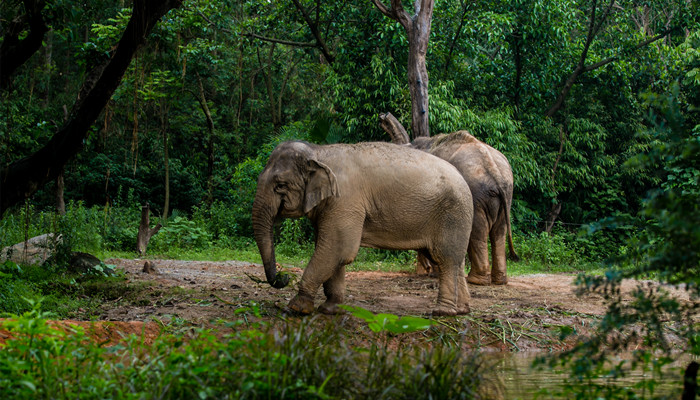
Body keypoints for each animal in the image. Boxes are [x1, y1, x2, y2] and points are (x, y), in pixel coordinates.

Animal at [249, 141, 474, 316]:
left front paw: (296, 308)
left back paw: (442, 312)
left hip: (452, 215)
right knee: (455, 261)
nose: (283, 277)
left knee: (446, 259)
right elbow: (333, 252)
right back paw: (461, 310)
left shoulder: (345, 200)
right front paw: (330, 309)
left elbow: (339, 249)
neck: (318, 151)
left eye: (280, 185)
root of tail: (463, 179)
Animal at [410, 130, 520, 284]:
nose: (426, 269)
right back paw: (499, 280)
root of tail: (495, 173)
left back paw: (475, 280)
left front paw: (434, 273)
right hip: (507, 194)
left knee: (478, 230)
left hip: (475, 193)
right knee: (499, 231)